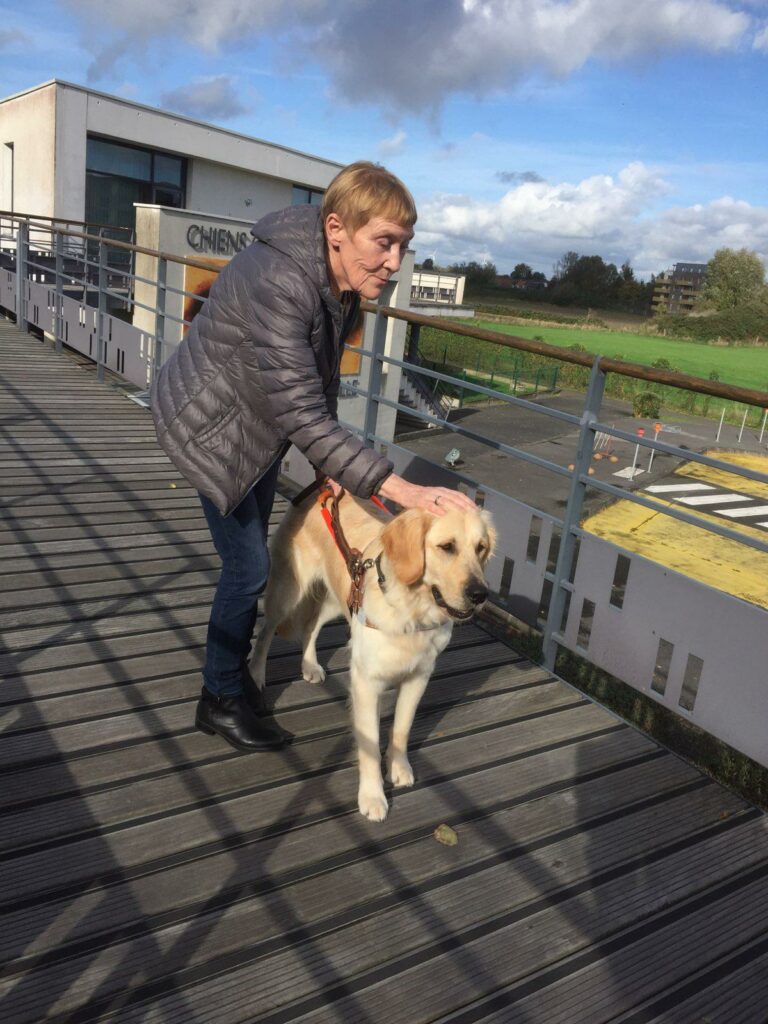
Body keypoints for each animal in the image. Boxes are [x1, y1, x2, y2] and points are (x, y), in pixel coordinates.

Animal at [249, 491, 495, 819]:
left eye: (481, 548)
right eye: (447, 547)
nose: (480, 594)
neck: (413, 609)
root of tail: (320, 490)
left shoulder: (419, 676)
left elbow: (402, 729)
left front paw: (399, 768)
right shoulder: (366, 682)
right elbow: (369, 744)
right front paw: (372, 796)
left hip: (340, 599)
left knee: (312, 625)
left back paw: (310, 664)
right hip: (289, 592)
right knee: (266, 631)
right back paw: (256, 675)